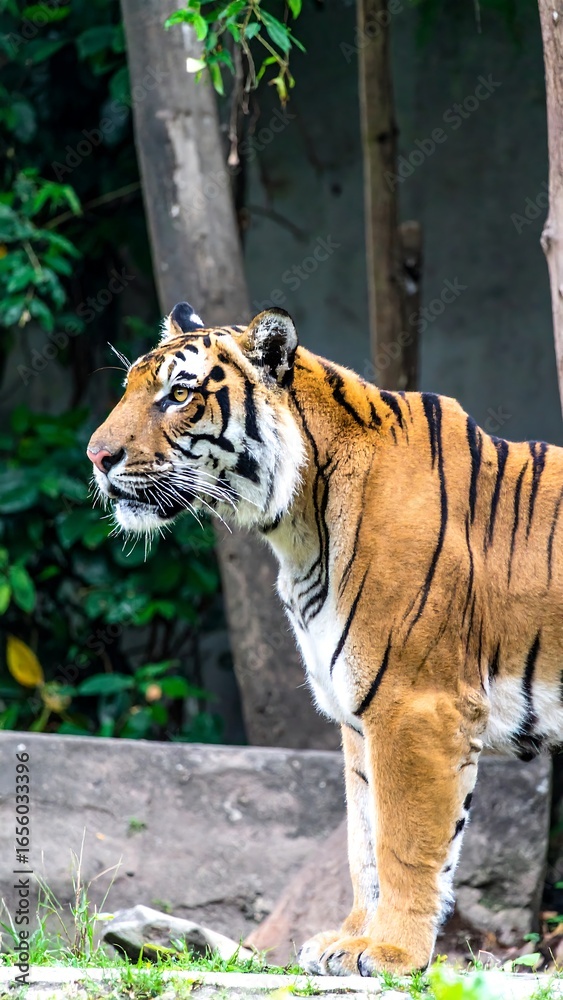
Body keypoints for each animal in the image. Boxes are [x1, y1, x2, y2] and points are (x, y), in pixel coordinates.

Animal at [87, 301, 563, 977]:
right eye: (129, 387)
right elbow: (364, 841)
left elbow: (405, 843)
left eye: (179, 394)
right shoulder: (361, 716)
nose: (95, 457)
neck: (298, 528)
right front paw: (349, 943)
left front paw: (392, 953)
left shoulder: (413, 707)